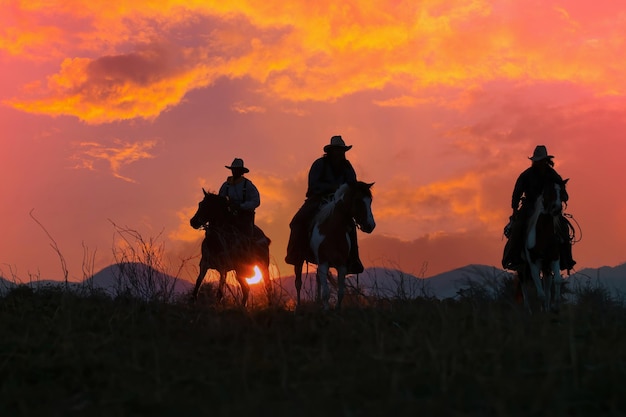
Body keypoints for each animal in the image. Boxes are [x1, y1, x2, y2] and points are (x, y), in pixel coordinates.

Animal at [516, 179, 564, 312]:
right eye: (549, 191)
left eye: (561, 191)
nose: (557, 208)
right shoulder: (533, 263)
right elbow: (540, 294)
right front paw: (542, 312)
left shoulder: (554, 258)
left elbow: (557, 281)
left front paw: (555, 306)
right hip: (522, 267)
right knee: (524, 286)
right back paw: (528, 310)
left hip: (545, 265)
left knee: (547, 285)